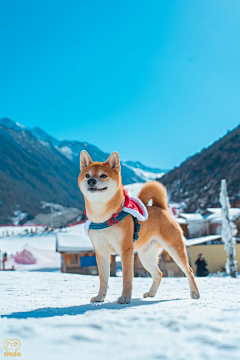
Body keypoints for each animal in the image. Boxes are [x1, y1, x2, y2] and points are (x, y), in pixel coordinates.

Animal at [78, 150, 200, 304]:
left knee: (188, 271)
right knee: (158, 274)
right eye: (87, 175)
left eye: (103, 175)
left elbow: (127, 278)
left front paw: (125, 297)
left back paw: (195, 293)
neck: (102, 217)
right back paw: (151, 293)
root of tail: (161, 208)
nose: (91, 181)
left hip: (175, 250)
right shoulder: (101, 253)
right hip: (145, 256)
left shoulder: (125, 250)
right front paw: (100, 297)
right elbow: (103, 279)